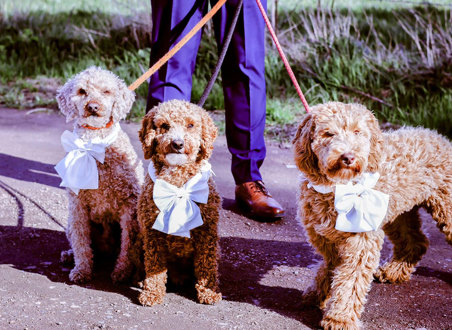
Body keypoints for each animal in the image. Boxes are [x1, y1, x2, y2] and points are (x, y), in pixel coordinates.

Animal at [55, 67, 143, 284]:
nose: (93, 106)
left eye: (106, 91)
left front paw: (122, 272)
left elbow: (128, 245)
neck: (94, 145)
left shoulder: (129, 205)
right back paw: (69, 255)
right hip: (70, 223)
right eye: (82, 91)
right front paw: (82, 270)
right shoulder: (77, 204)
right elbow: (81, 241)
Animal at [138, 99, 222, 306]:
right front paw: (153, 292)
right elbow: (154, 267)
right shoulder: (152, 233)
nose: (177, 143)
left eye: (191, 125)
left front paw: (209, 292)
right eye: (164, 126)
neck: (177, 181)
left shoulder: (207, 233)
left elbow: (207, 265)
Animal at [292, 102, 450, 328]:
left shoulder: (361, 242)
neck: (338, 188)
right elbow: (330, 268)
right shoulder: (326, 239)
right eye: (328, 133)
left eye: (358, 132)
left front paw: (340, 318)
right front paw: (316, 294)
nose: (348, 157)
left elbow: (351, 281)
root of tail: (440, 137)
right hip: (398, 213)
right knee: (415, 242)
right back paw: (394, 271)